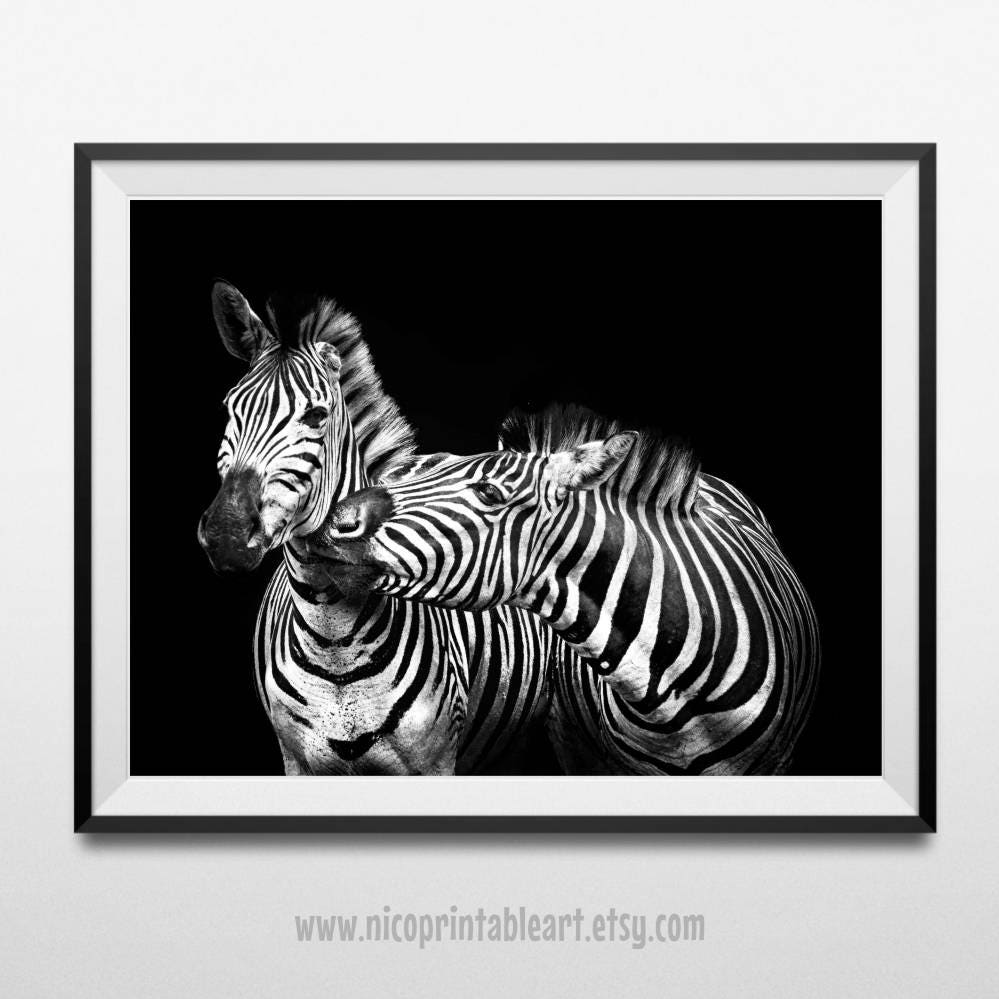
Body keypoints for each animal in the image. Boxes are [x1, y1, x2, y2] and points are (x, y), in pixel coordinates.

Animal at [197, 282, 561, 775]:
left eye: (316, 416)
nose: (226, 535)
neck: (332, 637)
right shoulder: (295, 759)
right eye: (229, 407)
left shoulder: (434, 761)